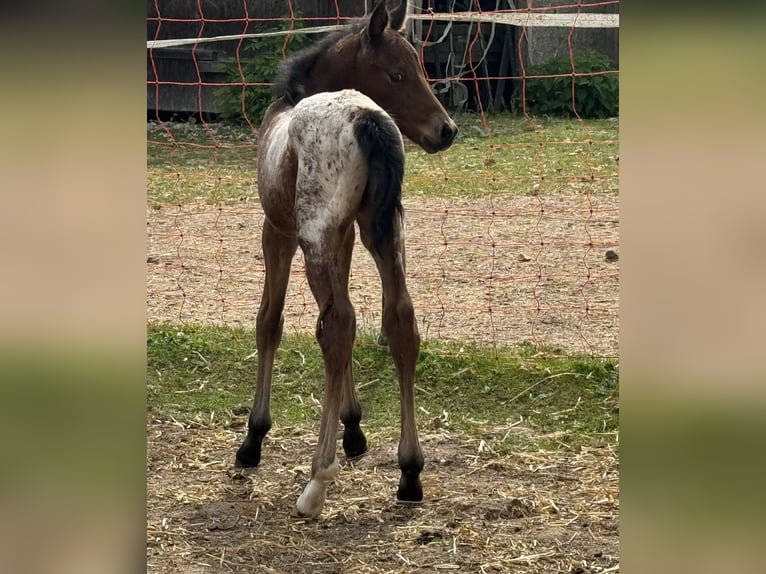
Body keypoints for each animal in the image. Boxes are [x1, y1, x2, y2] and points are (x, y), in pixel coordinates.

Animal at [237, 0, 460, 516]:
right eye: (398, 73)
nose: (446, 131)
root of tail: (364, 115)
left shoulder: (280, 233)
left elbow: (270, 321)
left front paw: (254, 438)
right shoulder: (347, 236)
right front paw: (354, 428)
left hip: (314, 239)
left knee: (338, 324)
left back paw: (317, 480)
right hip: (387, 235)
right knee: (398, 321)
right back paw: (409, 472)